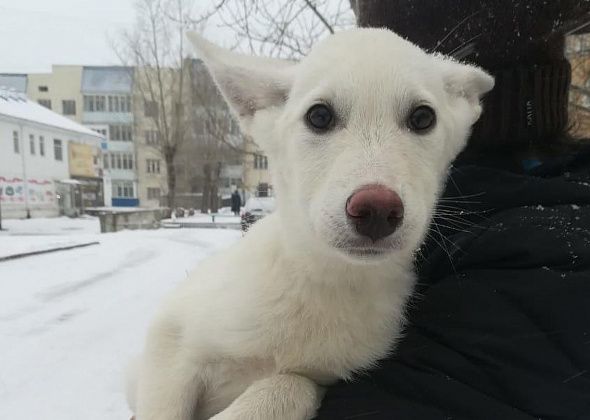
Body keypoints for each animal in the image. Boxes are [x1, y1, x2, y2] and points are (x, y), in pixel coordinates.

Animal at [130, 27, 494, 418]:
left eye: (423, 118)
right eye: (319, 116)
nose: (377, 209)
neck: (321, 278)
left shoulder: (323, 377)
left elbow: (291, 384)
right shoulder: (169, 338)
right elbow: (163, 405)